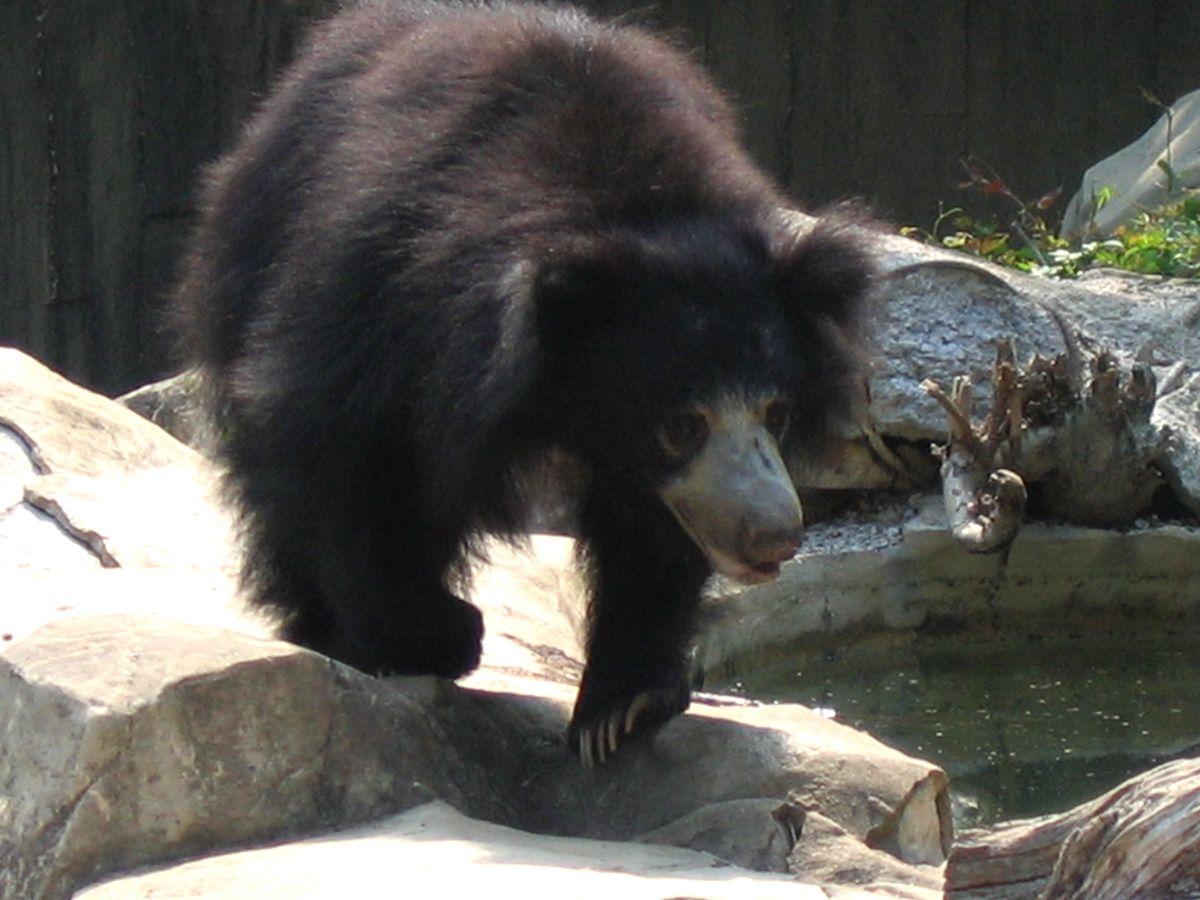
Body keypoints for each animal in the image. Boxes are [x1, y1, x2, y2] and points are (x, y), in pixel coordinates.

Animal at [172, 0, 873, 766]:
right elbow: (341, 449)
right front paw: (433, 635)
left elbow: (650, 533)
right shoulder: (373, 296)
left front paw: (621, 707)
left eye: (777, 413)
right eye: (682, 424)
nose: (774, 534)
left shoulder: (652, 473)